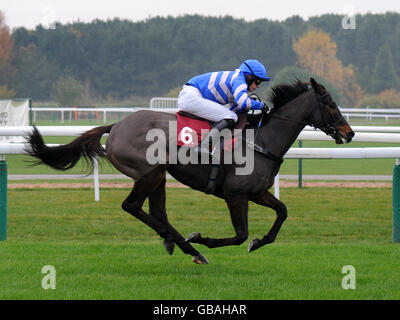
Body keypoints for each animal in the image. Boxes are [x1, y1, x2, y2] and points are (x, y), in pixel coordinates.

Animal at [25, 79, 354, 264]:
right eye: (329, 103)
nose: (349, 132)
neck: (261, 140)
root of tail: (116, 125)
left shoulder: (257, 192)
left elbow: (282, 212)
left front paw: (259, 242)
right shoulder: (235, 195)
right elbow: (239, 235)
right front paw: (202, 238)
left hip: (159, 175)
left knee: (156, 213)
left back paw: (179, 244)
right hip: (149, 172)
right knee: (132, 206)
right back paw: (188, 246)